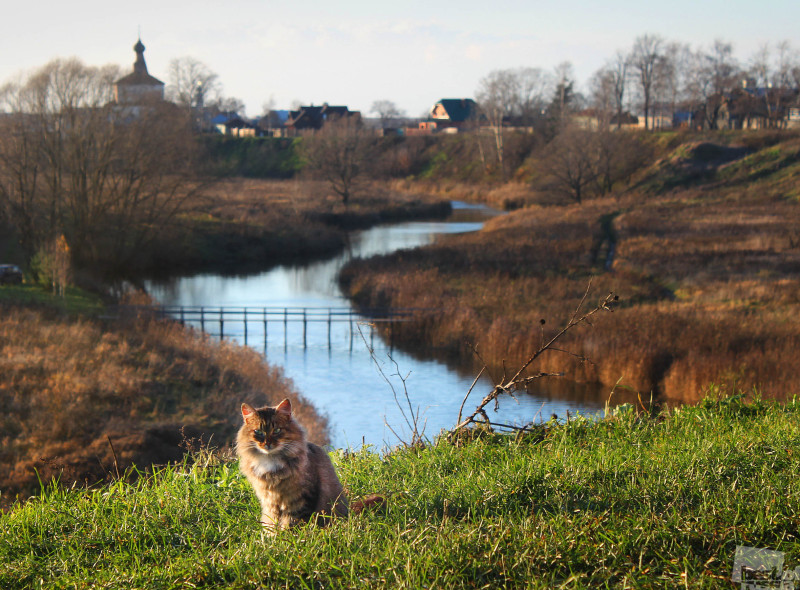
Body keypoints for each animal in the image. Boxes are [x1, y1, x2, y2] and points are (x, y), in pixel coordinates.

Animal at [238, 400, 350, 536]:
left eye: (277, 430)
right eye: (258, 432)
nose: (267, 444)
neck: (270, 460)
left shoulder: (302, 498)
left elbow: (292, 521)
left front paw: (288, 536)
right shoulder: (270, 502)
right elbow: (273, 522)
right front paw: (273, 537)